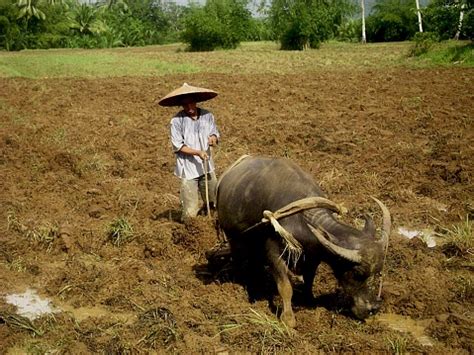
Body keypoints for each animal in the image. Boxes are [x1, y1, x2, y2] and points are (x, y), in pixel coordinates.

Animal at [217, 156, 390, 328]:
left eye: (378, 272)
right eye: (357, 273)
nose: (373, 308)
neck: (305, 217)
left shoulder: (313, 256)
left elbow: (309, 278)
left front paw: (310, 301)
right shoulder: (273, 252)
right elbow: (285, 286)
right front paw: (288, 319)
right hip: (234, 238)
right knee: (239, 260)